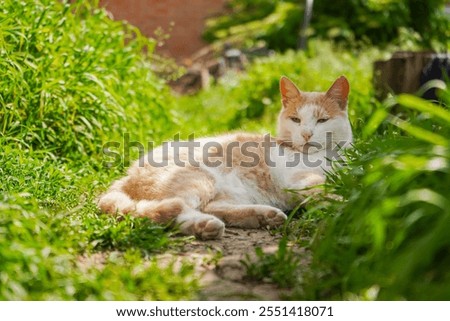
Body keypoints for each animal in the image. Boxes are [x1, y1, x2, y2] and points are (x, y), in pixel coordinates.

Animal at [97, 76, 352, 239]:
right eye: (296, 120)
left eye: (322, 120)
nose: (307, 133)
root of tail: (126, 175)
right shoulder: (299, 179)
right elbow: (327, 189)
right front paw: (346, 203)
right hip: (199, 178)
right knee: (169, 208)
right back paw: (202, 224)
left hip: (233, 193)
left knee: (213, 207)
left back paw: (263, 216)